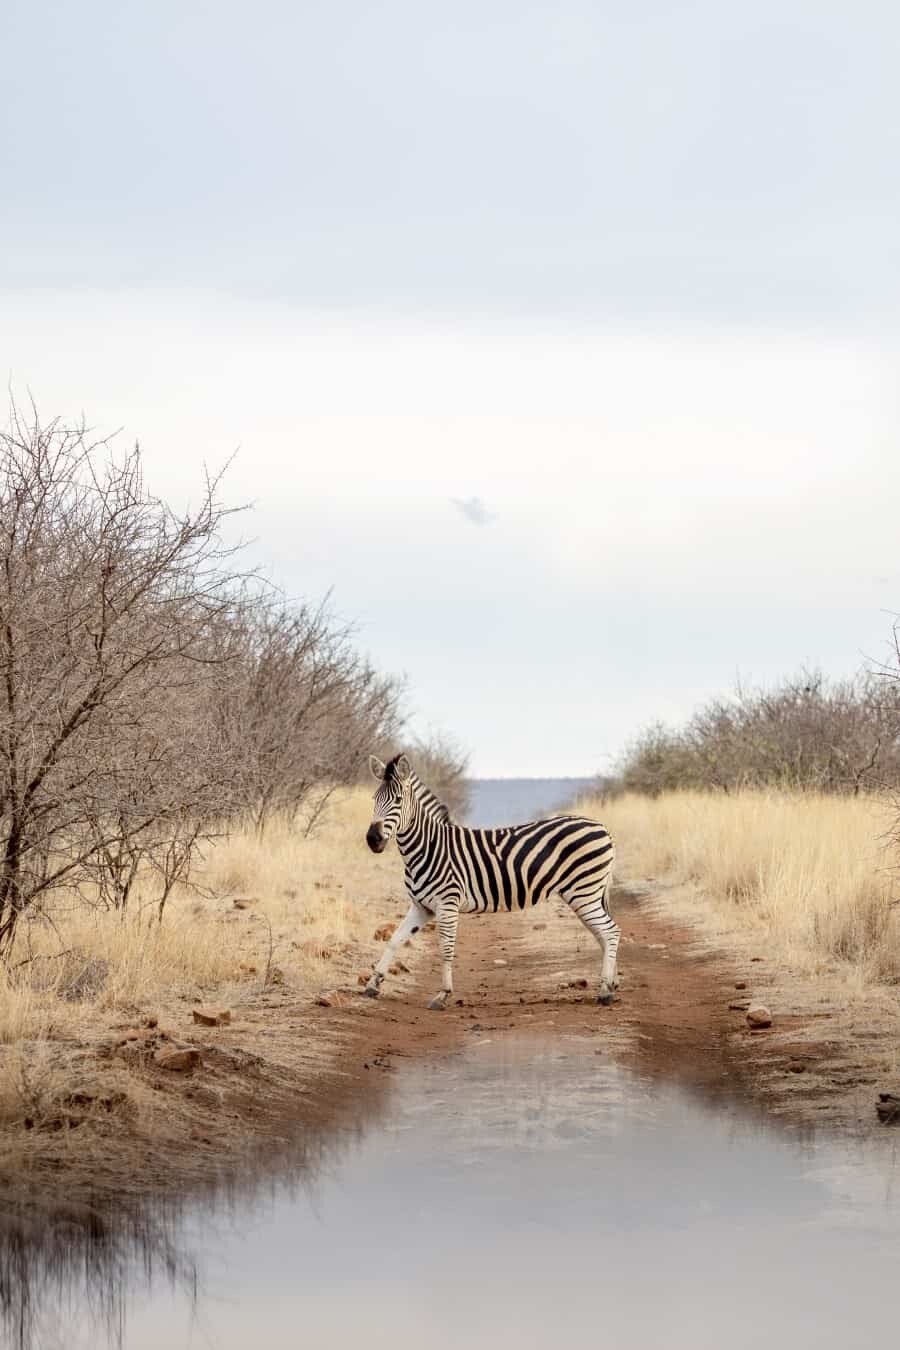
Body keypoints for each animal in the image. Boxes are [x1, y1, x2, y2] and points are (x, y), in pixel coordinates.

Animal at [361, 756, 620, 1009]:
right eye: (374, 799)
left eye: (397, 800)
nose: (373, 840)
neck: (428, 848)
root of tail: (602, 827)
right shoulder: (421, 907)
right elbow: (394, 940)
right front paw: (373, 984)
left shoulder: (447, 904)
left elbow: (446, 949)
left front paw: (443, 994)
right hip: (585, 894)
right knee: (603, 934)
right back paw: (611, 984)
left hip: (583, 892)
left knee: (611, 931)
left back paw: (605, 992)